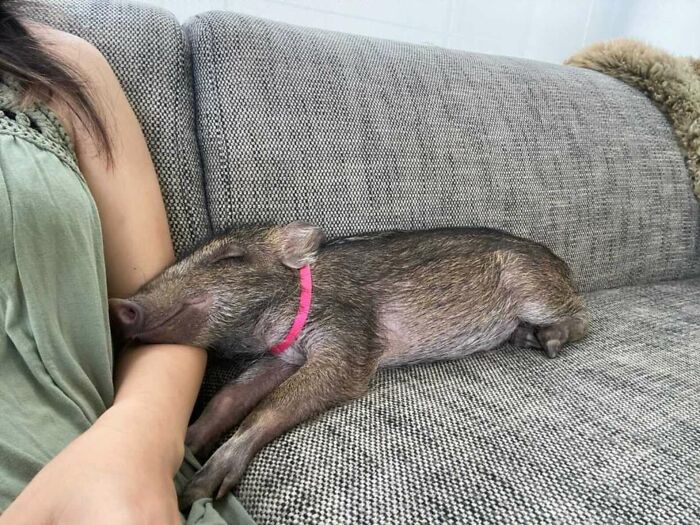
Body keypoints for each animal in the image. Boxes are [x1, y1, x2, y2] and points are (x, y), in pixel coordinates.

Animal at [109, 222, 588, 508]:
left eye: (230, 259)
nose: (119, 306)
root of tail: (563, 264)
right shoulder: (285, 356)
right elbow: (227, 399)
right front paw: (187, 447)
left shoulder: (346, 348)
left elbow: (269, 408)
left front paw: (198, 490)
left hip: (539, 294)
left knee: (582, 319)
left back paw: (547, 341)